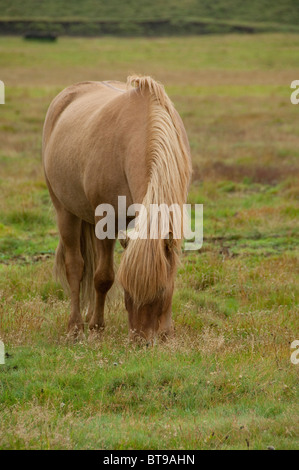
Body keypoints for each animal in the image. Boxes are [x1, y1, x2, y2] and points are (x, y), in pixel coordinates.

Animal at [42, 77, 192, 342]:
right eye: (127, 290)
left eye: (161, 289)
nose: (142, 340)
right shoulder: (107, 220)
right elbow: (103, 277)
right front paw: (96, 328)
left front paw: (167, 331)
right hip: (65, 212)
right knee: (76, 267)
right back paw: (76, 326)